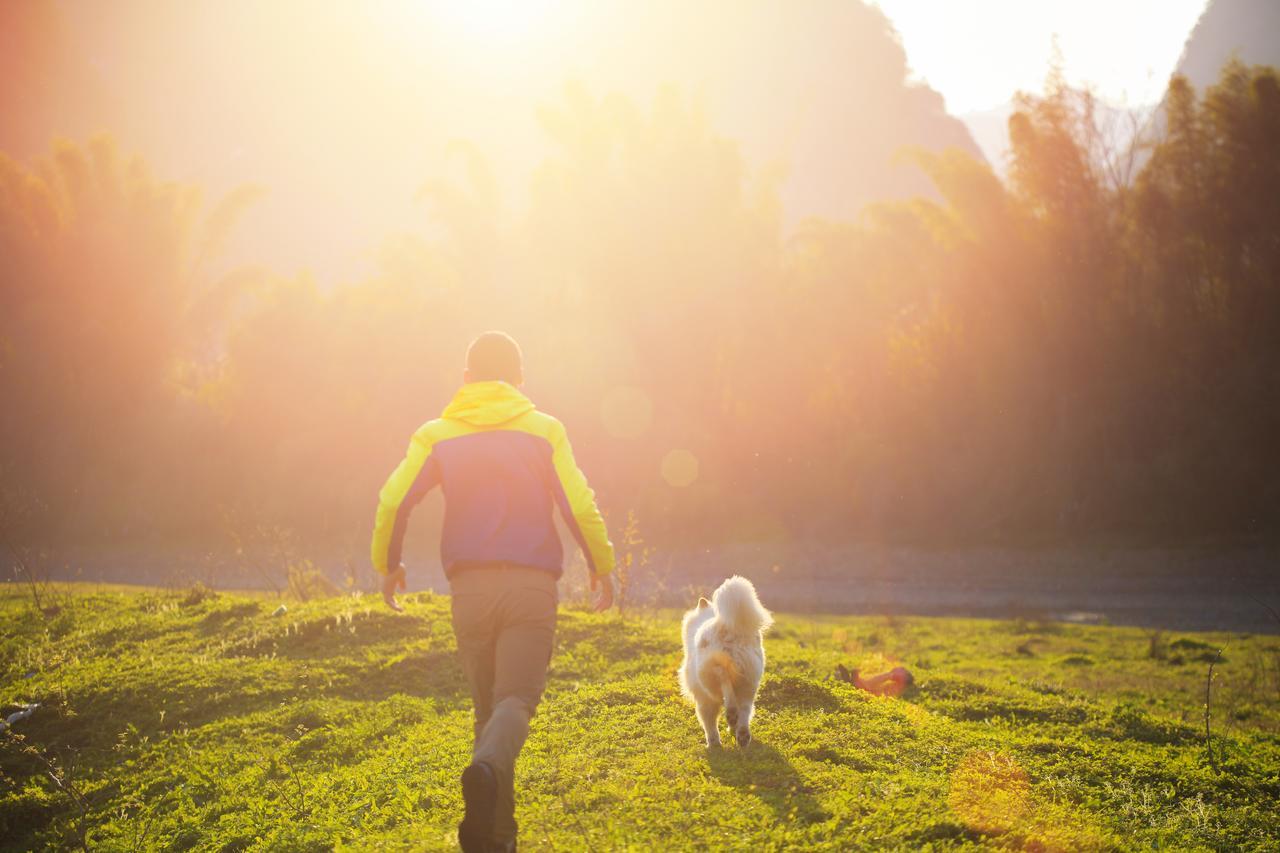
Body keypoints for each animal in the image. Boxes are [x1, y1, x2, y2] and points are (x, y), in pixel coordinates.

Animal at [680, 571, 768, 742]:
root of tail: (726, 626)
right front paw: (732, 730)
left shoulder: (703, 699)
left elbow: (709, 723)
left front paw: (713, 742)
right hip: (750, 681)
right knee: (745, 708)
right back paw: (742, 733)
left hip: (709, 673)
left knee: (724, 680)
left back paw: (732, 713)